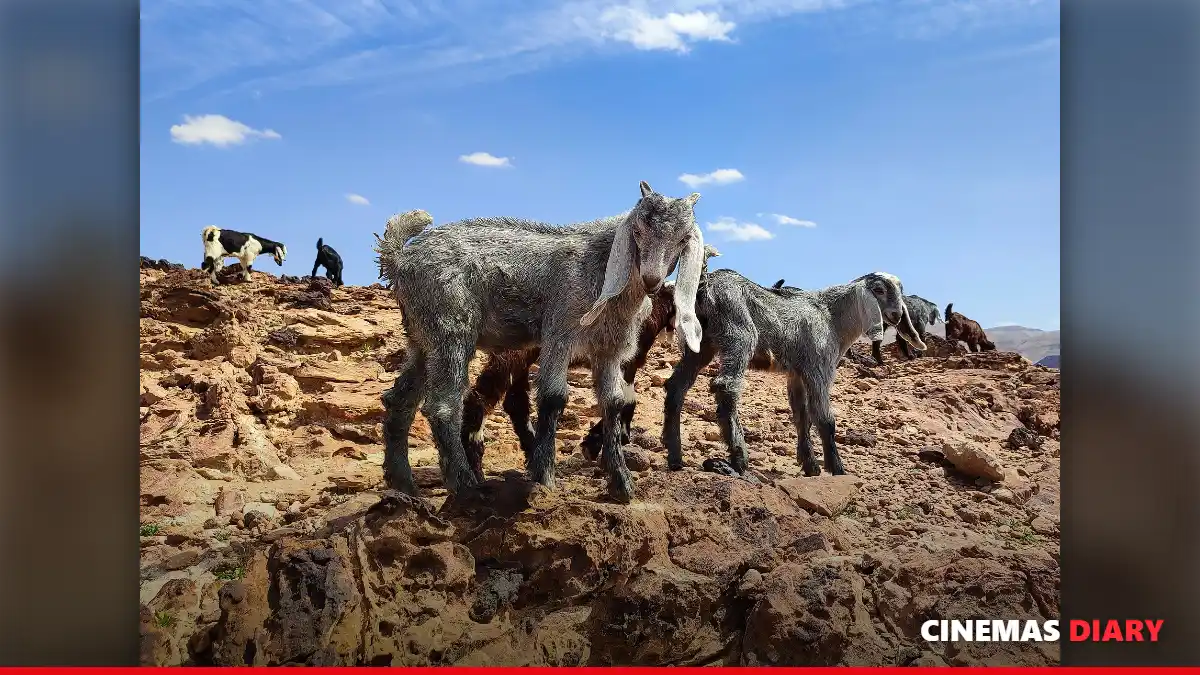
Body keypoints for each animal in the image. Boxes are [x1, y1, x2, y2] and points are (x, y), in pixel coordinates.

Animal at [458, 245, 722, 480]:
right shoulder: (625, 362)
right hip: (512, 354)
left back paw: (533, 456)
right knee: (480, 397)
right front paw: (599, 442)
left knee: (514, 402)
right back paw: (477, 471)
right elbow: (627, 401)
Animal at [663, 271, 925, 477]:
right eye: (879, 290)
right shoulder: (819, 368)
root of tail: (705, 286)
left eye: (901, 291)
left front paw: (811, 465)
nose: (896, 315)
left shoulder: (797, 375)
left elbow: (802, 416)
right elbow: (825, 419)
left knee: (676, 386)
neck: (832, 318)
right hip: (739, 335)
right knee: (725, 386)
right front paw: (837, 468)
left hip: (700, 342)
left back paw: (674, 455)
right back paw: (739, 459)